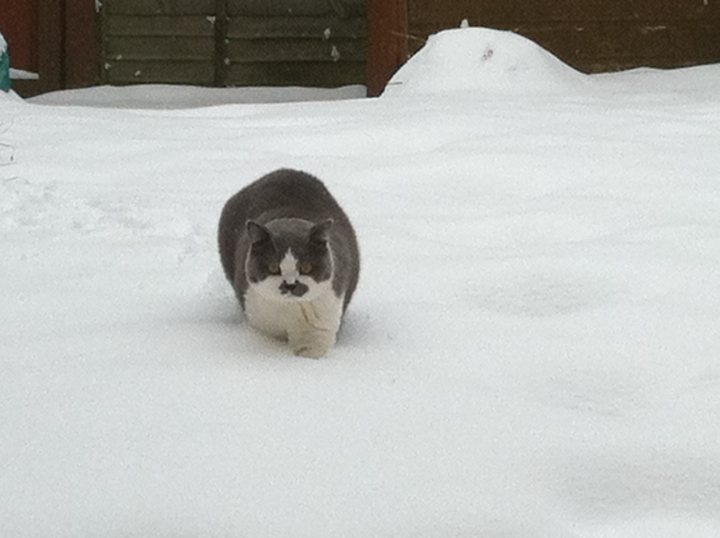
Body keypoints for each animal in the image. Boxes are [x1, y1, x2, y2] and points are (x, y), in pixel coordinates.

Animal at [215, 168, 358, 356]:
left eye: (306, 267)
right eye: (273, 267)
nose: (290, 284)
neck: (290, 312)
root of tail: (284, 171)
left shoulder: (322, 320)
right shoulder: (258, 317)